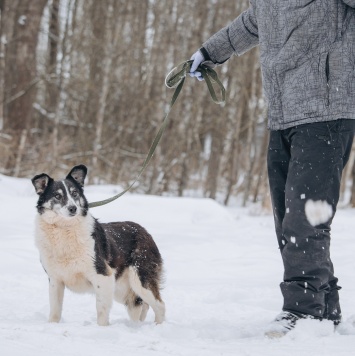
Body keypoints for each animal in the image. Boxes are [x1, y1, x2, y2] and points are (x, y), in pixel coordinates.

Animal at [32, 164, 165, 326]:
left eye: (75, 193)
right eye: (57, 196)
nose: (73, 208)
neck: (64, 228)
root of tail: (144, 231)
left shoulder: (103, 276)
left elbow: (101, 310)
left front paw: (102, 328)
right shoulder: (55, 280)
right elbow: (55, 310)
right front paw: (52, 326)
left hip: (140, 279)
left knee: (159, 305)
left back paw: (159, 326)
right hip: (122, 288)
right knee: (141, 306)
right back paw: (136, 326)